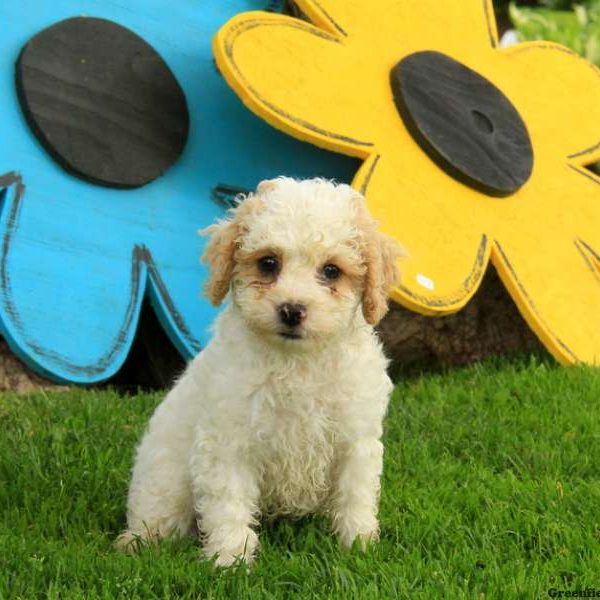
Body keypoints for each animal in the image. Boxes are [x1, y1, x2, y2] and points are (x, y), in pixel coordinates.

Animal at [116, 176, 404, 564]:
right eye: (269, 263)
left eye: (331, 271)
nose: (292, 310)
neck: (298, 362)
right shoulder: (228, 440)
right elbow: (228, 502)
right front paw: (230, 558)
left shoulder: (355, 438)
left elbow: (355, 494)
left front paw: (359, 544)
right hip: (165, 479)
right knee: (157, 515)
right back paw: (137, 542)